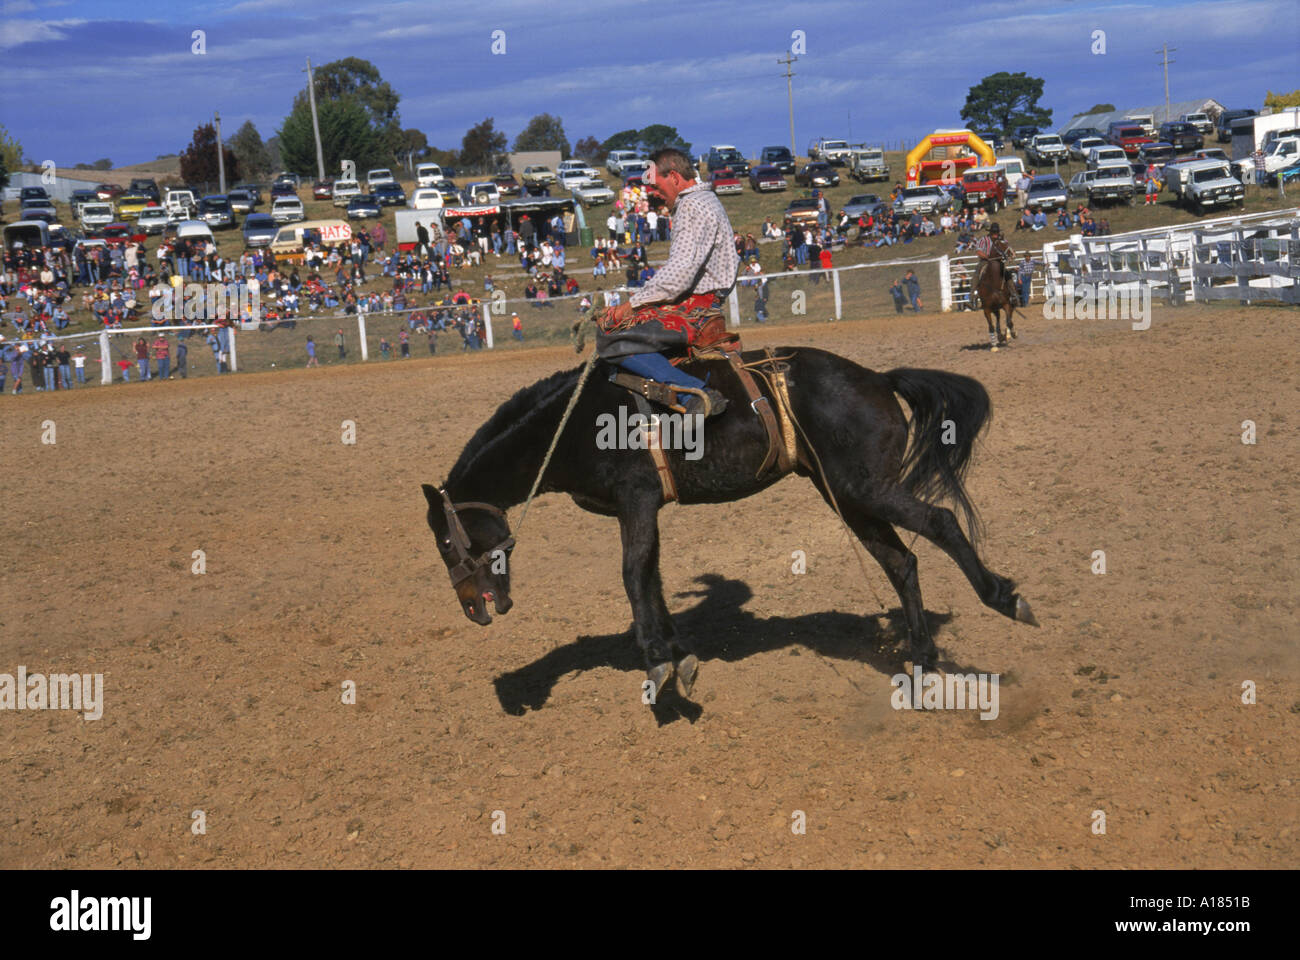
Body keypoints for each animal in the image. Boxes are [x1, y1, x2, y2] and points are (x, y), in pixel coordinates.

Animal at [421, 348, 1040, 697]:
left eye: (447, 542)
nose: (474, 609)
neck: (573, 422)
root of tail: (878, 378)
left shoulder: (636, 497)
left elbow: (633, 574)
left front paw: (657, 665)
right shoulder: (642, 507)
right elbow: (652, 575)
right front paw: (677, 654)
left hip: (868, 489)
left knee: (940, 522)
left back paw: (1005, 600)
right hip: (844, 494)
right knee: (901, 561)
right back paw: (922, 662)